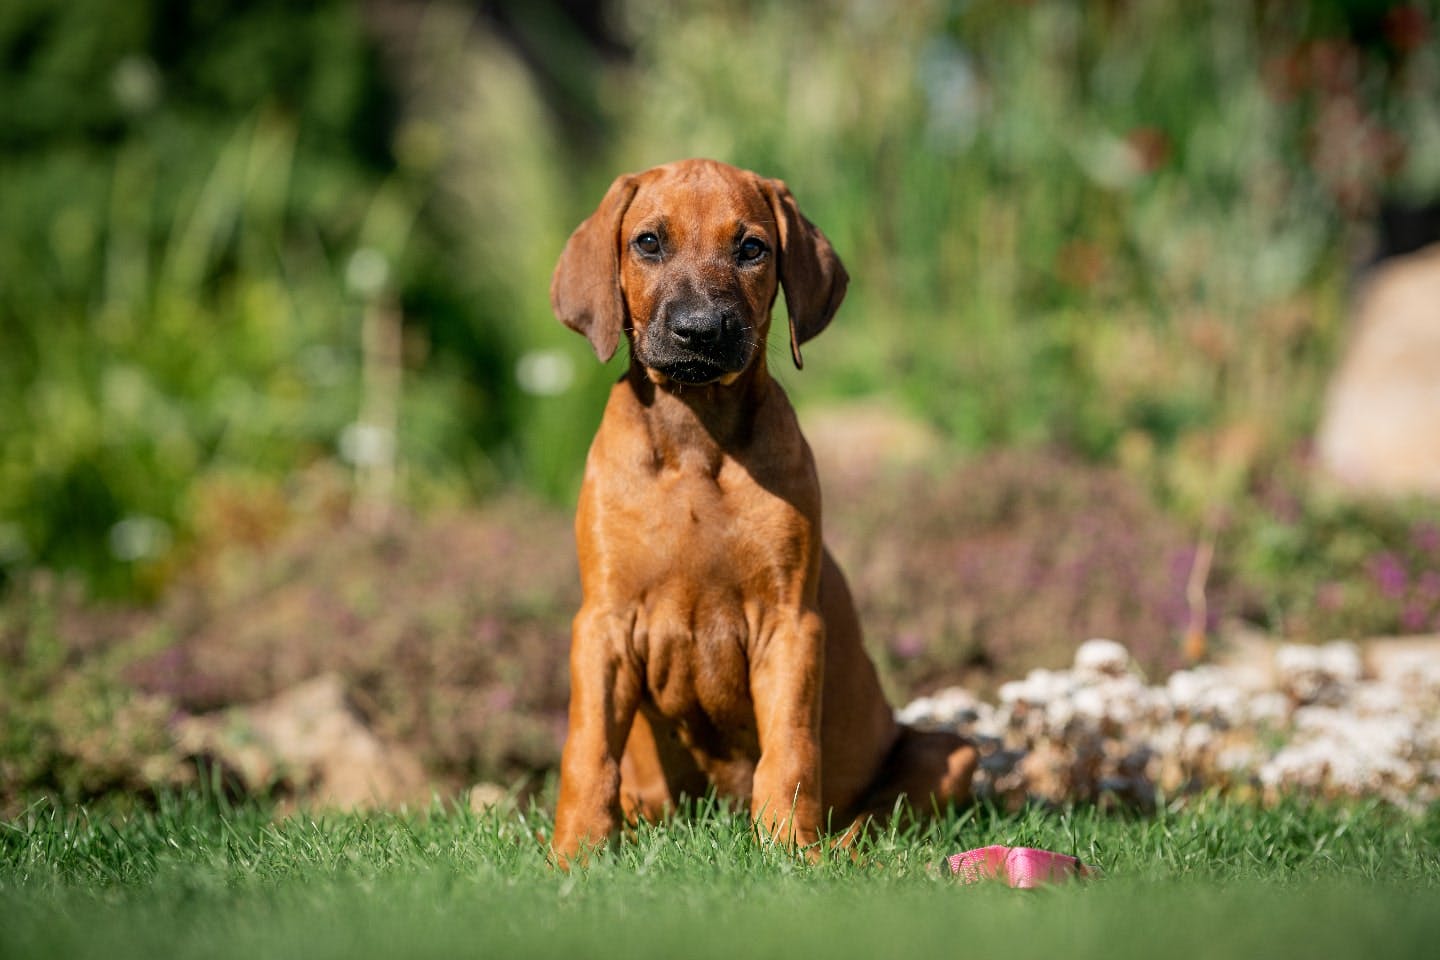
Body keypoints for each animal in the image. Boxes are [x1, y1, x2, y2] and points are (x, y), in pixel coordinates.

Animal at [550, 161, 979, 869]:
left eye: (752, 249)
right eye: (648, 243)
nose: (700, 330)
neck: (696, 443)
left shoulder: (790, 624)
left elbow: (791, 746)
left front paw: (789, 848)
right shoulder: (602, 623)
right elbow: (587, 748)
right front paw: (576, 850)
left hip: (952, 752)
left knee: (887, 810)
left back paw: (845, 843)